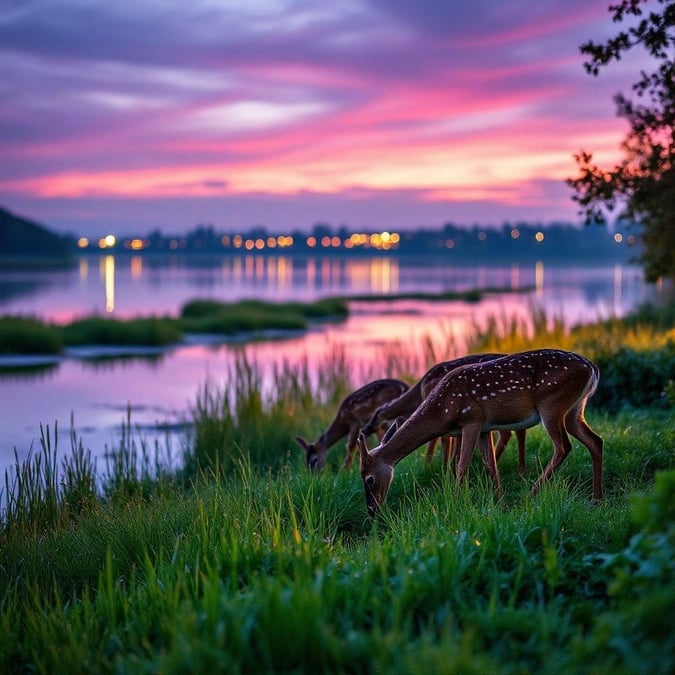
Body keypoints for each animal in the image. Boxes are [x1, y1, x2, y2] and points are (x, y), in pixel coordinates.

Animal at [364, 356, 528, 472]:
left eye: (374, 416)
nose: (365, 429)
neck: (419, 393)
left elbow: (440, 439)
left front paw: (439, 466)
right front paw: (447, 465)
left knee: (511, 432)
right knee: (517, 430)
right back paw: (520, 469)